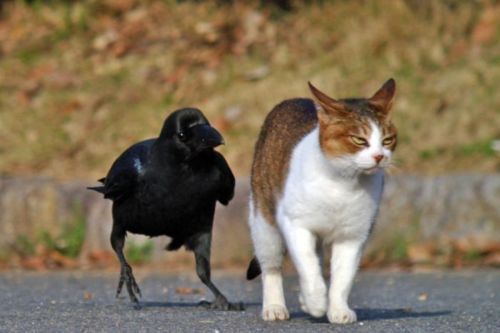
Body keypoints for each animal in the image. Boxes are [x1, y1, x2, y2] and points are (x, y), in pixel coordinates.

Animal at [247, 78, 398, 322]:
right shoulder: (296, 225)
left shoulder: (353, 235)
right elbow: (308, 267)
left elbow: (343, 277)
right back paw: (274, 306)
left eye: (387, 140)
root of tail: (293, 100)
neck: (343, 185)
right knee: (271, 265)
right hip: (264, 221)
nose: (379, 156)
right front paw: (316, 303)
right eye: (359, 140)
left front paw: (337, 310)